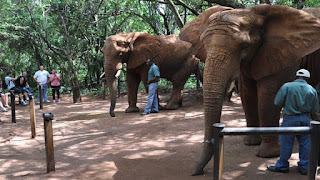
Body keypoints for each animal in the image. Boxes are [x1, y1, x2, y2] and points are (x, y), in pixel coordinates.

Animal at [179, 4, 320, 175]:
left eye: (244, 46)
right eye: (204, 45)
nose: (196, 172)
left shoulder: (284, 53)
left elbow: (268, 97)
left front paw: (266, 154)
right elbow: (248, 95)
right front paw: (250, 142)